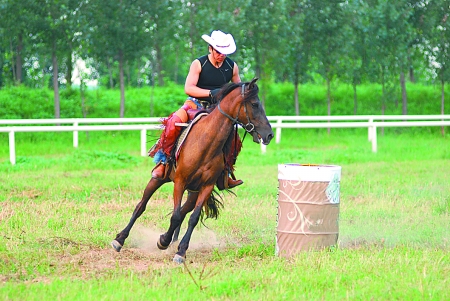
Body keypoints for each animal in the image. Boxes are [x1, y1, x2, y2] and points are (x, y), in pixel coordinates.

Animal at [111, 78, 274, 262]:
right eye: (254, 104)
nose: (269, 134)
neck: (206, 143)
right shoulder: (179, 182)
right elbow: (174, 216)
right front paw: (164, 242)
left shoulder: (206, 187)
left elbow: (192, 218)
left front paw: (180, 251)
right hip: (159, 179)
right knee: (141, 206)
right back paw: (120, 239)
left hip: (193, 192)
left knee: (183, 212)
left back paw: (172, 241)